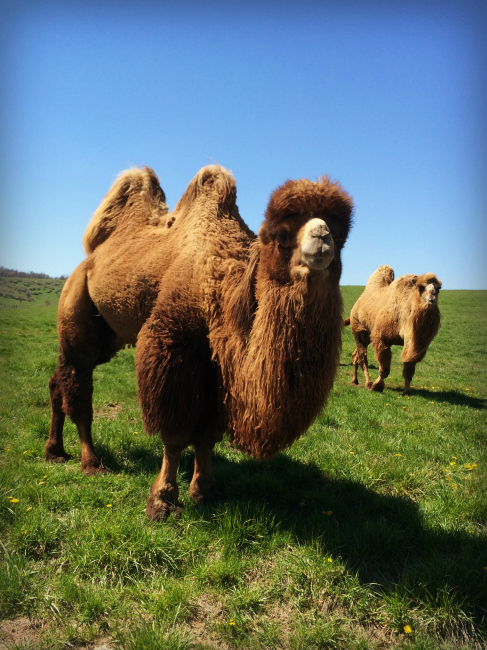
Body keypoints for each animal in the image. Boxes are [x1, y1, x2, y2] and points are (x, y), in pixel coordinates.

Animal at [45, 165, 352, 520]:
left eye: (341, 234)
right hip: (76, 307)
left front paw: (205, 491)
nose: (322, 238)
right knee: (78, 386)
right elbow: (176, 434)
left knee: (57, 381)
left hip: (108, 336)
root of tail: (88, 260)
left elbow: (208, 435)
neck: (220, 290)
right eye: (282, 233)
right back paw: (91, 462)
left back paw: (54, 451)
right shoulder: (172, 346)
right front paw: (162, 501)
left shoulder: (217, 367)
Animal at [346, 264, 444, 394]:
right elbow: (384, 369)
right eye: (421, 287)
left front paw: (406, 392)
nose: (432, 299)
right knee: (363, 358)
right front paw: (377, 386)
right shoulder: (382, 338)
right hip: (359, 330)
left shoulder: (412, 343)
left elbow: (409, 371)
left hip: (369, 337)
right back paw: (368, 383)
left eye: (438, 289)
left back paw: (354, 381)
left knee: (355, 355)